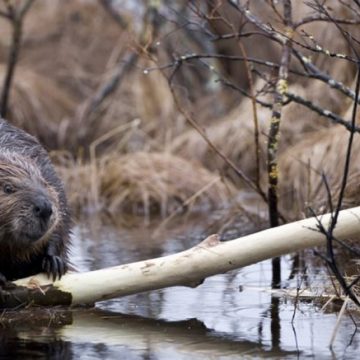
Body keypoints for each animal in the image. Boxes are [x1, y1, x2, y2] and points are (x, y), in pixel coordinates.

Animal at [0, 119, 70, 282]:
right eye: (8, 188)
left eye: (44, 182)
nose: (44, 208)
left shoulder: (49, 174)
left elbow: (61, 224)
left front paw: (54, 262)